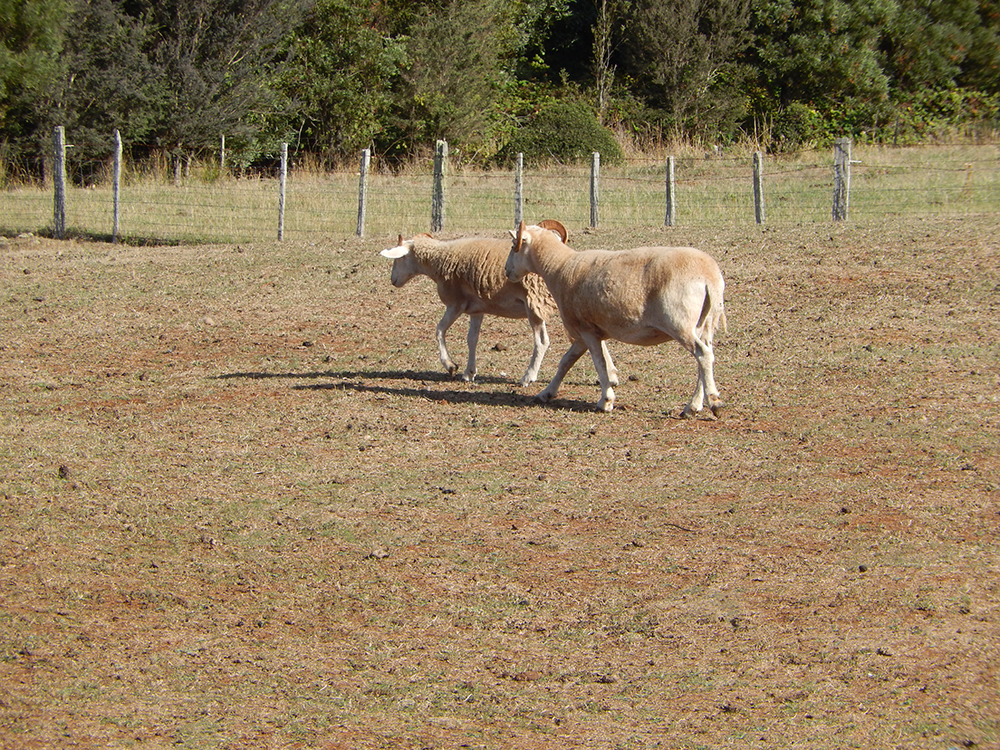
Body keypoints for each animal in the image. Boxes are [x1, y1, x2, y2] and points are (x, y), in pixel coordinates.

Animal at [380, 232, 560, 386]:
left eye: (398, 259)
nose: (392, 280)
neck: (438, 259)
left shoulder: (456, 304)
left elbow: (439, 330)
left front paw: (450, 365)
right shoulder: (477, 309)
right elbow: (472, 339)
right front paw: (469, 372)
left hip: (534, 304)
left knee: (541, 342)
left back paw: (528, 376)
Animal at [505, 220, 727, 418]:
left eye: (514, 246)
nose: (507, 271)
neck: (559, 268)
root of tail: (709, 275)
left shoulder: (586, 330)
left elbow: (599, 363)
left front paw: (606, 401)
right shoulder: (585, 333)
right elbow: (566, 361)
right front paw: (546, 393)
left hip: (679, 323)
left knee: (702, 354)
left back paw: (713, 403)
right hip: (704, 324)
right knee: (705, 358)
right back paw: (694, 406)